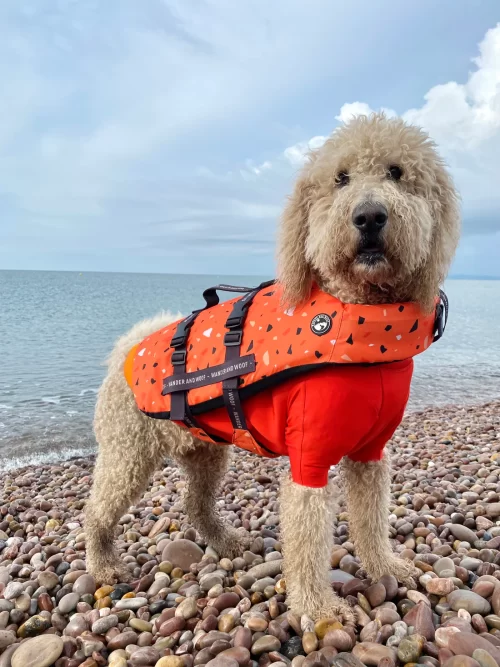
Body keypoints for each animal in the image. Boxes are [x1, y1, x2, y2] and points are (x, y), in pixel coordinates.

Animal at [84, 113, 458, 628]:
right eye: (340, 178)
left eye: (397, 172)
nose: (368, 216)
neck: (366, 319)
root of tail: (126, 348)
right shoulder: (309, 461)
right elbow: (307, 540)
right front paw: (319, 608)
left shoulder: (370, 455)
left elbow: (371, 520)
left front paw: (386, 566)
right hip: (127, 455)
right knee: (97, 510)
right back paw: (102, 564)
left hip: (206, 453)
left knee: (196, 504)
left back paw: (226, 542)